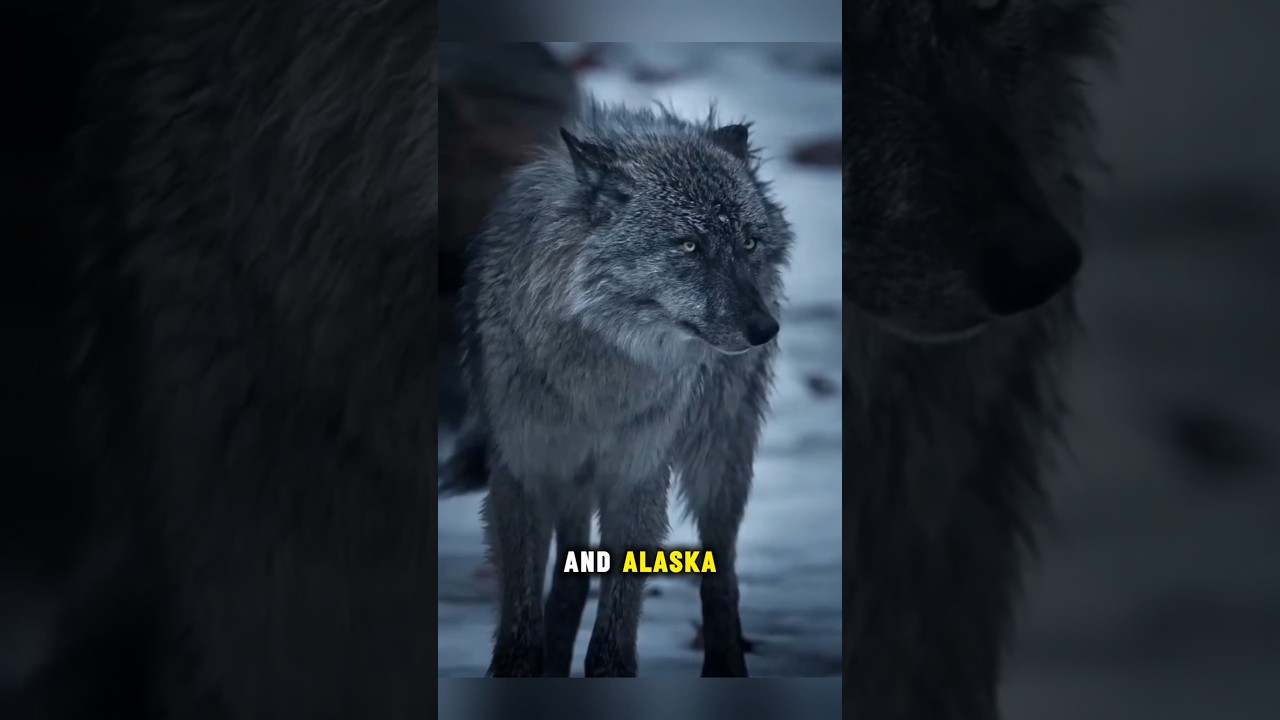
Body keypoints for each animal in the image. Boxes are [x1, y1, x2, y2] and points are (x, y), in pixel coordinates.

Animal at [440, 100, 792, 677]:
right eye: (690, 245)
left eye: (748, 243)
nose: (765, 330)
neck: (597, 380)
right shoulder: (522, 476)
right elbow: (522, 617)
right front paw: (521, 665)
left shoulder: (637, 477)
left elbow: (616, 627)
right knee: (573, 573)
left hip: (718, 458)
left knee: (721, 573)